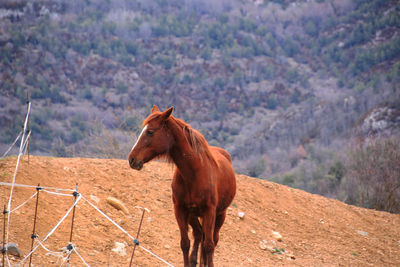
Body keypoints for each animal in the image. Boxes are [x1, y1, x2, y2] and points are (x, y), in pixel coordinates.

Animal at [128, 105, 236, 266]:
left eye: (150, 131)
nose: (132, 159)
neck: (194, 173)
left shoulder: (209, 211)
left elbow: (209, 245)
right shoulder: (180, 210)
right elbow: (185, 243)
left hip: (220, 215)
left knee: (213, 240)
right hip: (193, 215)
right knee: (198, 234)